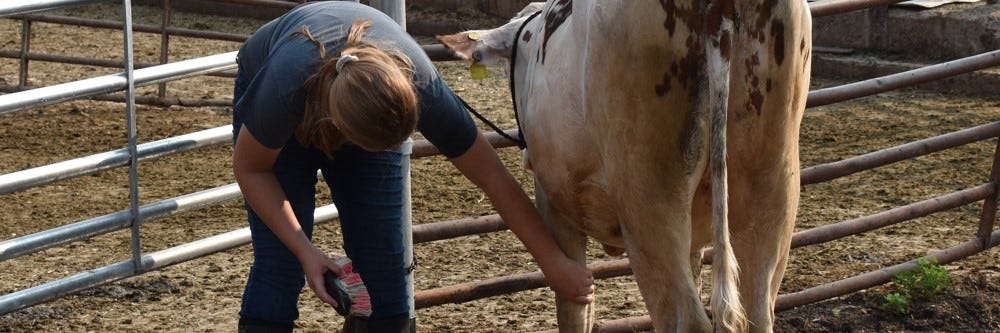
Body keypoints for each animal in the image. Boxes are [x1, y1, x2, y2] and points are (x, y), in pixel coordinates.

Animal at [440, 1, 812, 330]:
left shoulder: (554, 201)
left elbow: (574, 308)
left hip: (648, 194)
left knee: (686, 318)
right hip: (771, 178)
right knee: (758, 310)